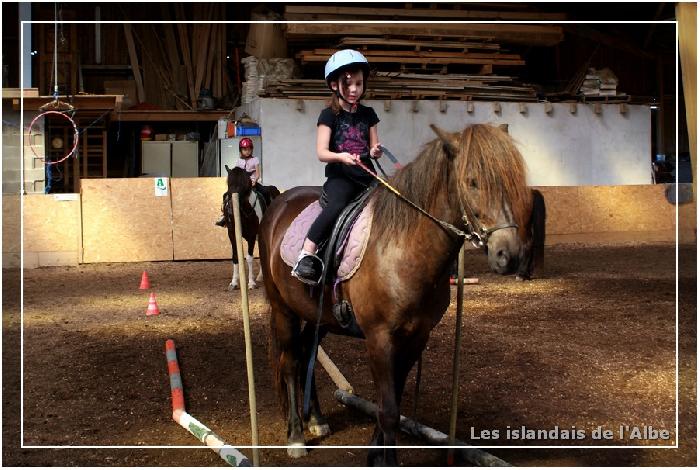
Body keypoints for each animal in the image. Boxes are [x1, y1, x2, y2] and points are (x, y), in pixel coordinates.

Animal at [258, 123, 532, 464]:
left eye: (512, 180)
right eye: (472, 181)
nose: (509, 255)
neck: (404, 250)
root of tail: (279, 203)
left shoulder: (416, 337)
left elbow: (395, 404)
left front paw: (375, 456)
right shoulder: (380, 338)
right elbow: (388, 410)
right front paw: (385, 460)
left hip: (318, 315)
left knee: (308, 350)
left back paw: (316, 420)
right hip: (283, 309)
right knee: (291, 362)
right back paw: (296, 435)